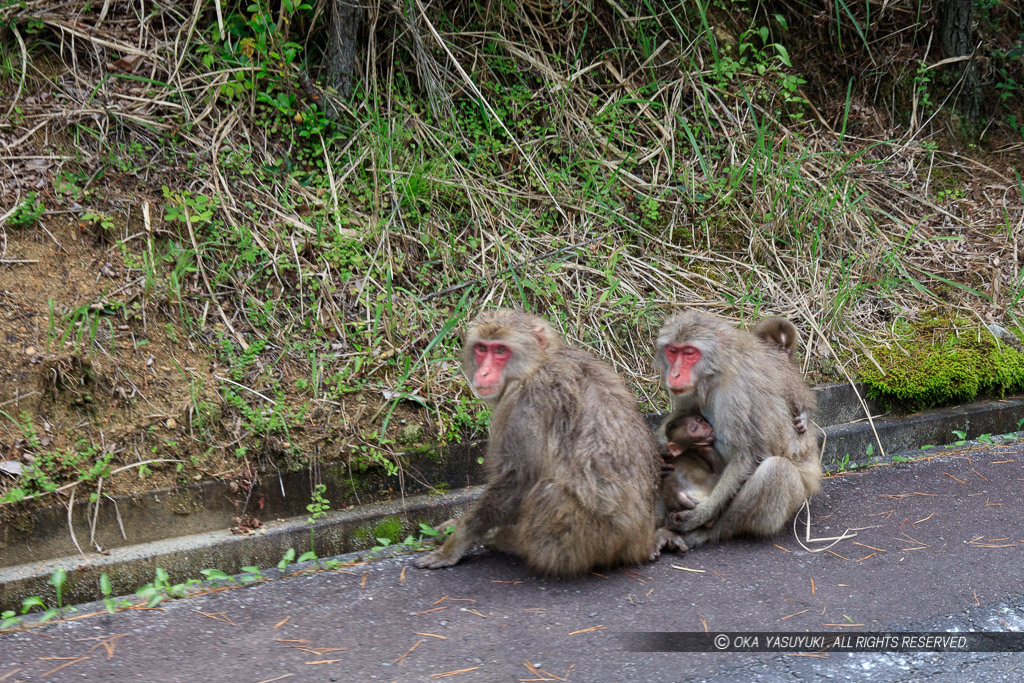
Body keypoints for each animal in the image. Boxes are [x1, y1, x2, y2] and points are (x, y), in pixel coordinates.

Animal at [417, 309, 663, 577]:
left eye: (500, 351)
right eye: (482, 348)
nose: (483, 373)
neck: (536, 364)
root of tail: (641, 542)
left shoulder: (528, 400)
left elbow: (519, 479)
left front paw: (457, 542)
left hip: (594, 537)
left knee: (549, 492)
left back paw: (511, 542)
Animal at [659, 313, 819, 552]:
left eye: (689, 352)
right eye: (672, 351)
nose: (675, 374)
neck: (717, 369)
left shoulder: (736, 392)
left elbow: (749, 455)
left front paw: (700, 515)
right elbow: (686, 412)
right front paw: (660, 444)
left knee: (777, 470)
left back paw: (704, 531)